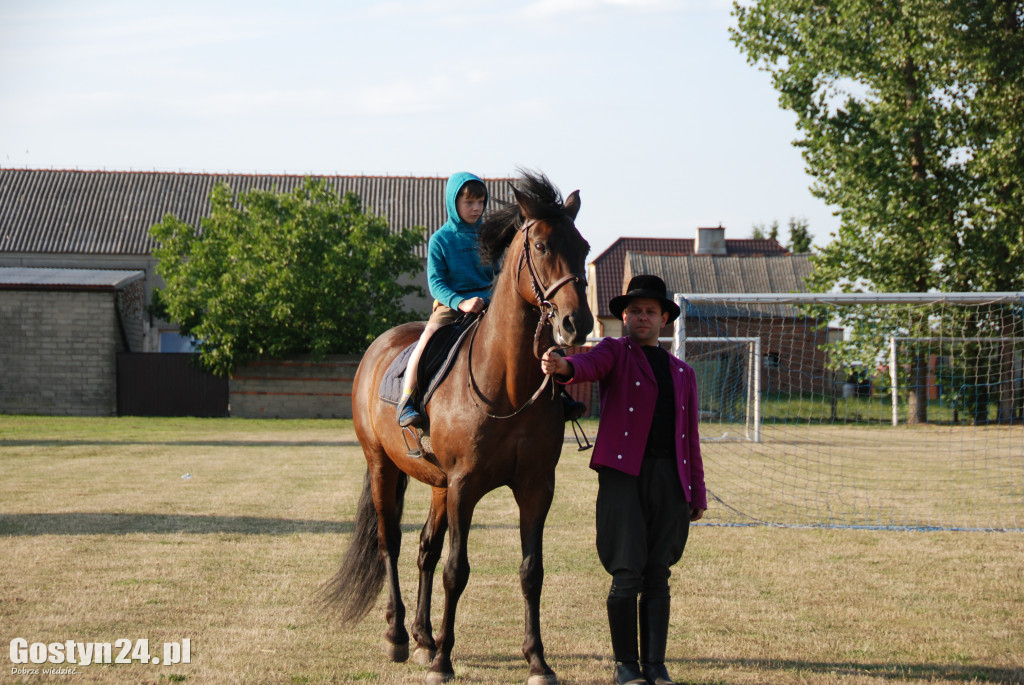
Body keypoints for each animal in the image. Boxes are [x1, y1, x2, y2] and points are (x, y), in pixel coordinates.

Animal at [319, 172, 593, 683]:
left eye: (583, 247)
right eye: (542, 246)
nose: (577, 322)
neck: (507, 384)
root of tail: (380, 345)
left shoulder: (535, 488)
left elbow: (531, 571)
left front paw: (537, 660)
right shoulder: (465, 486)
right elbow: (456, 570)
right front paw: (444, 661)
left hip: (437, 484)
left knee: (425, 547)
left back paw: (424, 638)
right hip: (385, 467)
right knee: (391, 544)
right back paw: (399, 636)